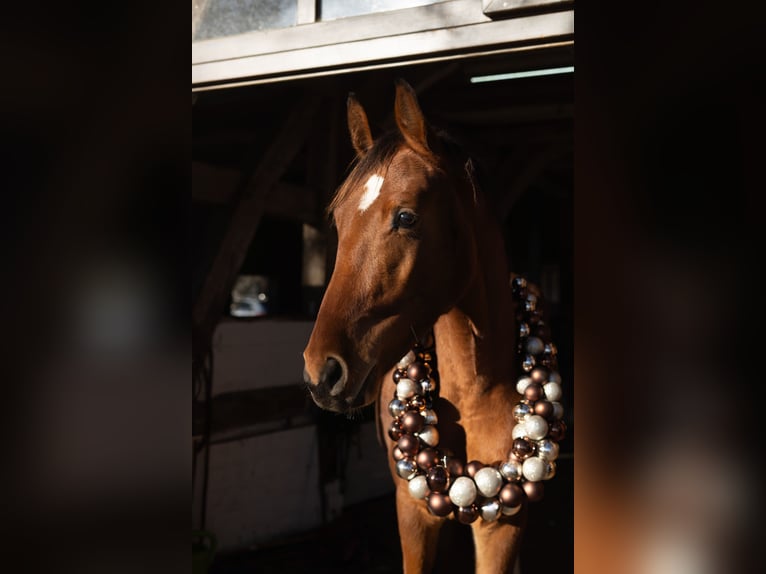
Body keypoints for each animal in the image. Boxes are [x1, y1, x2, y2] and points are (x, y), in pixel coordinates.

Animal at [303, 79, 565, 573]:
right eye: (338, 220)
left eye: (406, 217)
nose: (320, 372)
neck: (475, 386)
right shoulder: (412, 513)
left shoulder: (504, 528)